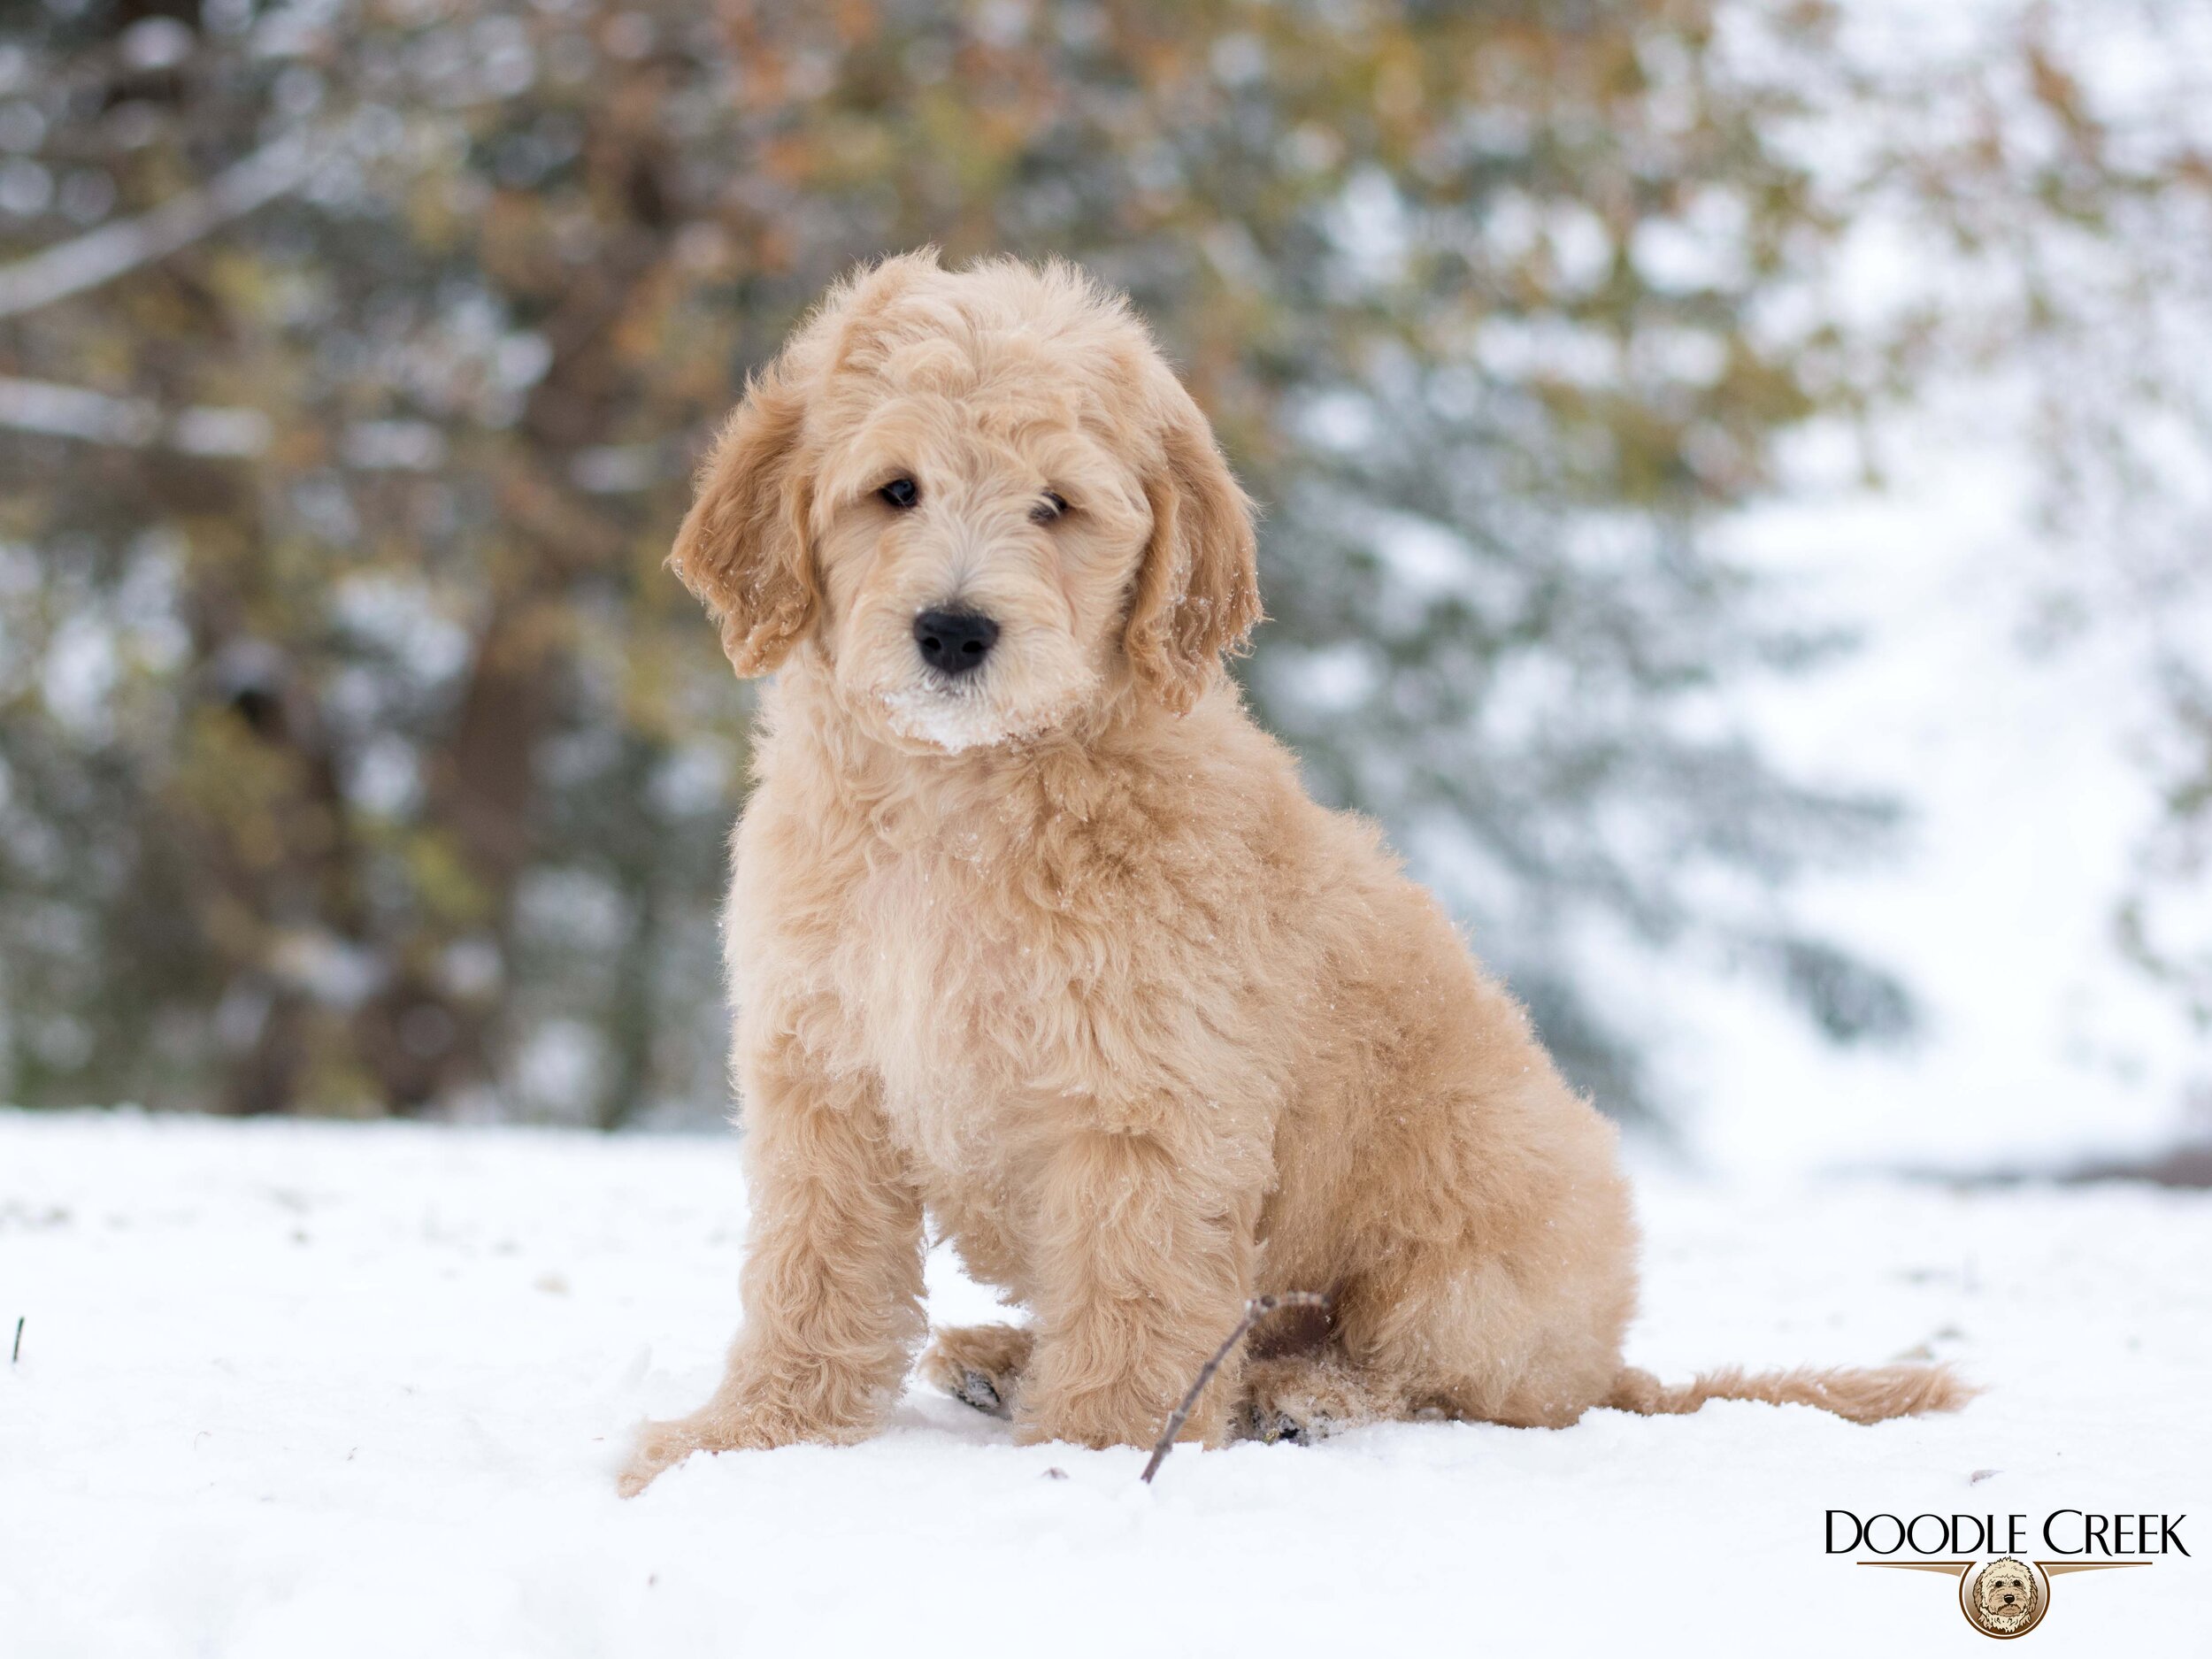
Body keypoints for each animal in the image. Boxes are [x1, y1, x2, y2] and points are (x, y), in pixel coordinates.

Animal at [615, 253, 1964, 1504]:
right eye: (893, 490)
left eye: (1056, 507)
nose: (954, 632)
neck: (964, 796)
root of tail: (1614, 1358)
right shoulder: (827, 1075)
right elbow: (811, 1276)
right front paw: (748, 1438)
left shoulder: (1149, 1106)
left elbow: (1133, 1299)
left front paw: (1090, 1461)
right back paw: (1007, 1357)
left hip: (1465, 1256)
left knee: (1428, 1376)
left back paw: (1292, 1396)